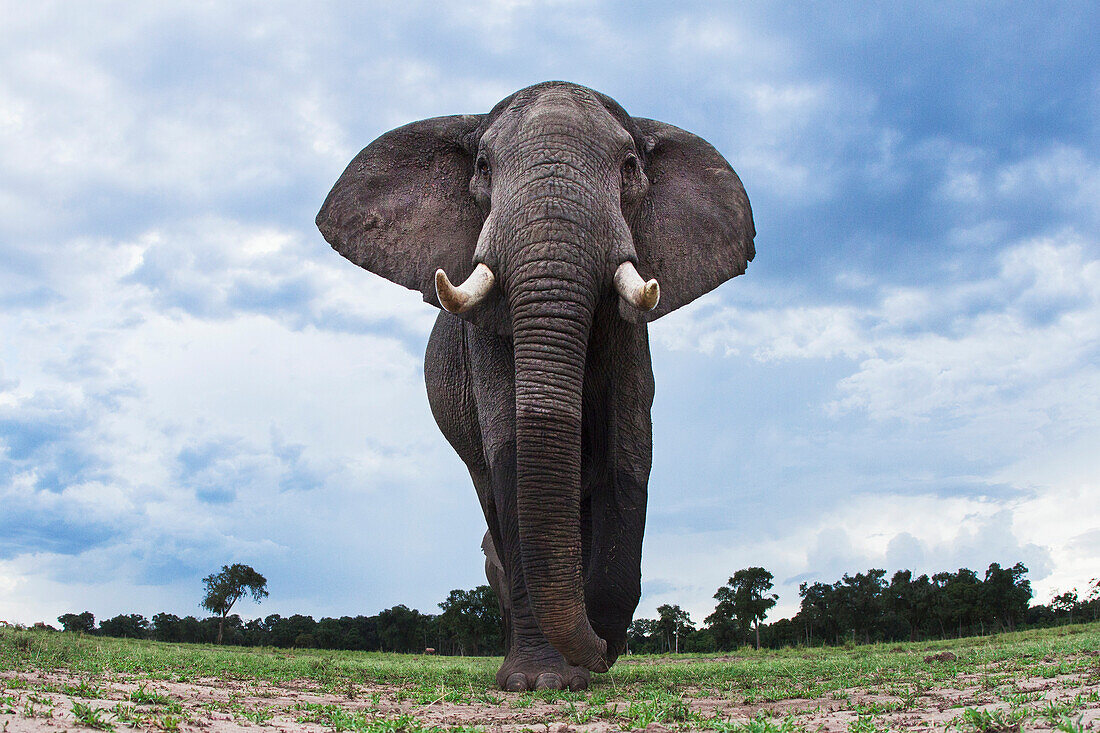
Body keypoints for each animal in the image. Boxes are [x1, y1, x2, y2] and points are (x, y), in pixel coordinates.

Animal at [314, 82, 752, 686]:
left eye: (630, 165)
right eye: (482, 166)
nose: (602, 651)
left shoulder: (632, 338)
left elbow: (627, 458)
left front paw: (595, 650)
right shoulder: (483, 337)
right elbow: (514, 459)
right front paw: (541, 681)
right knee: (491, 501)